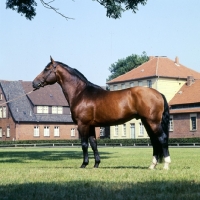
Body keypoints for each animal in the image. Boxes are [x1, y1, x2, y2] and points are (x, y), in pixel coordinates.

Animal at [32, 57, 171, 170]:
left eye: (46, 69)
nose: (34, 83)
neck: (81, 93)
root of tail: (158, 93)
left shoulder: (82, 125)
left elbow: (84, 144)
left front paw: (84, 164)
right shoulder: (91, 126)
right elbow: (94, 144)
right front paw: (96, 164)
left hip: (153, 122)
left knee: (162, 138)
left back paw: (166, 165)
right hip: (146, 122)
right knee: (154, 141)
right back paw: (152, 165)